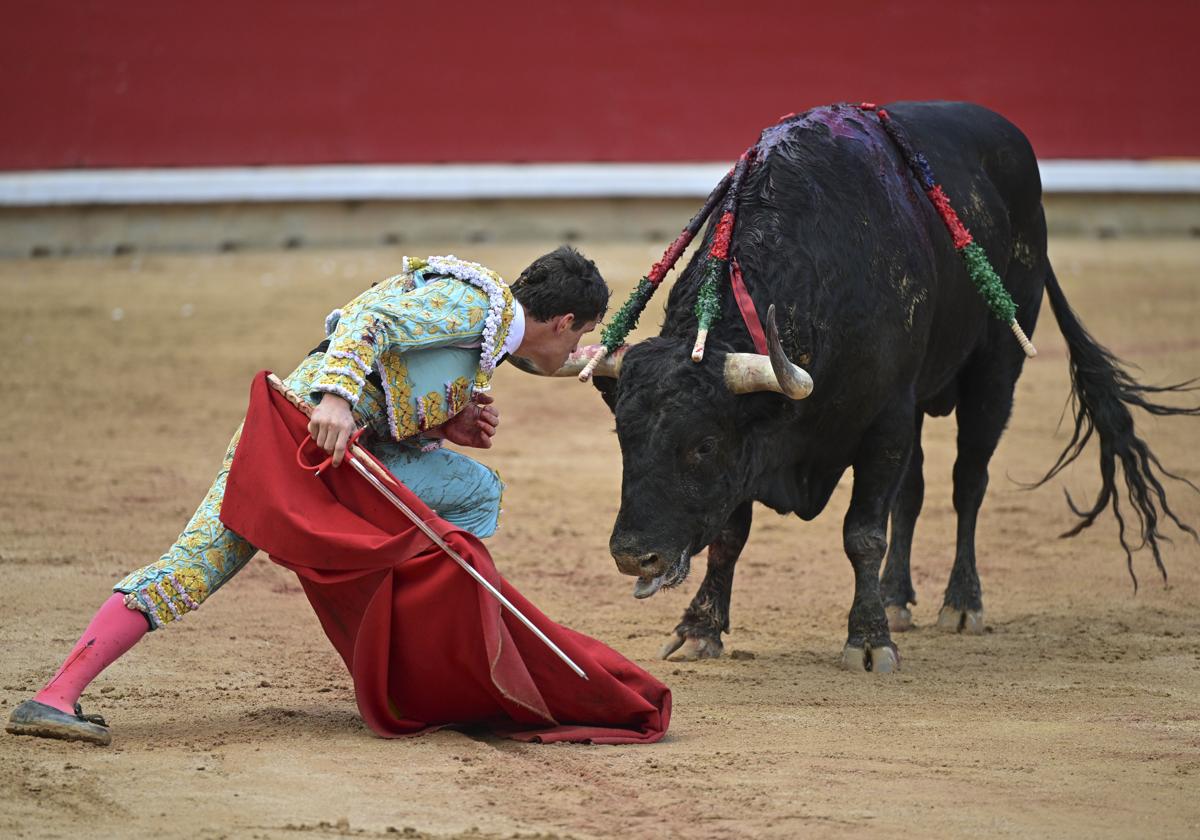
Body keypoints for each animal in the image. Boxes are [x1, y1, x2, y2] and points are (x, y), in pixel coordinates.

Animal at [585, 102, 1195, 672]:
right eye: (622, 438)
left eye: (703, 445)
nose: (633, 557)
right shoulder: (762, 446)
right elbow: (732, 532)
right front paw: (699, 629)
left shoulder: (883, 422)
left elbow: (862, 533)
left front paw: (869, 640)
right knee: (914, 492)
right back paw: (897, 599)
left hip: (995, 372)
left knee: (968, 481)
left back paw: (961, 604)